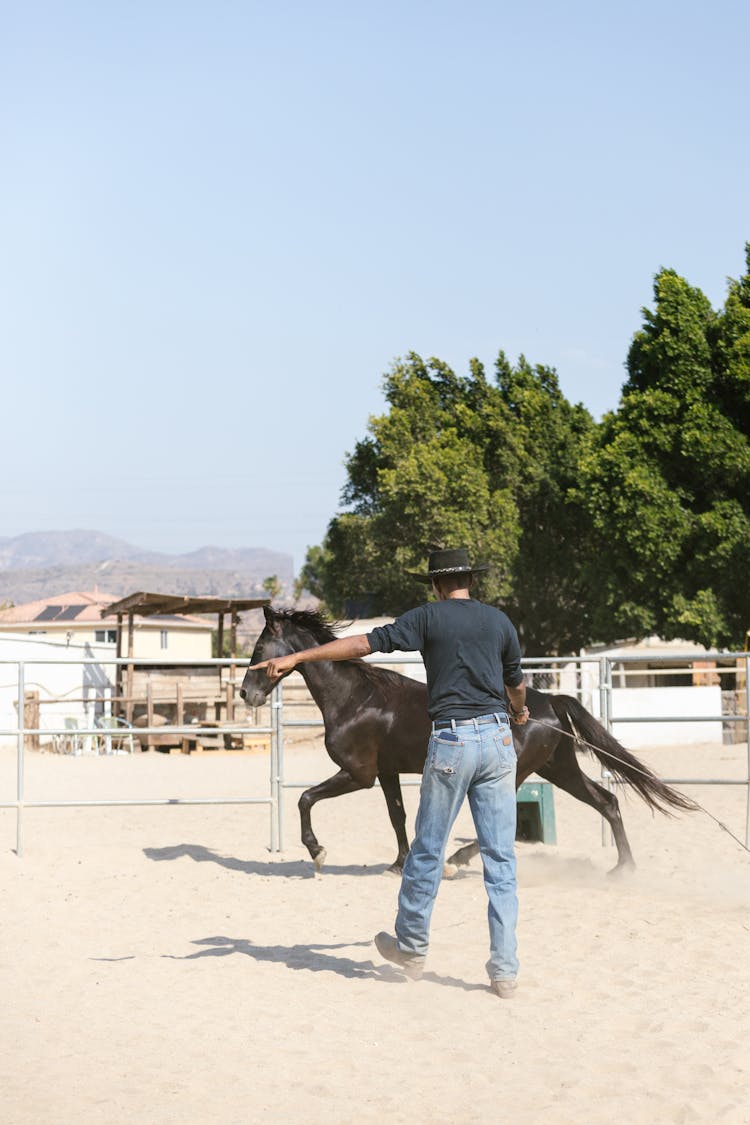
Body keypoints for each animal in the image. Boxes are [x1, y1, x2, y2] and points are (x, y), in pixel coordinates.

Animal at [240, 612, 692, 873]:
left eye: (259, 648)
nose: (246, 694)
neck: (357, 698)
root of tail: (551, 703)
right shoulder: (386, 773)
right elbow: (397, 816)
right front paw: (399, 863)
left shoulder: (358, 773)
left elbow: (305, 798)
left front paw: (317, 852)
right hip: (559, 768)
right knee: (607, 801)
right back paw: (623, 869)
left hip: (519, 772)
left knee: (510, 822)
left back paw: (456, 861)